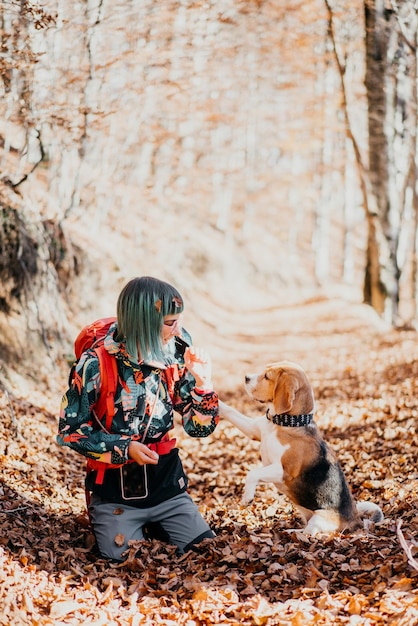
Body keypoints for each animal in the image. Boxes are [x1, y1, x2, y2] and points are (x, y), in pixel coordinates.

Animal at [220, 360, 384, 532]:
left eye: (267, 376)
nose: (246, 377)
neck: (286, 424)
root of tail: (356, 520)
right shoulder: (254, 430)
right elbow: (231, 411)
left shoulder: (285, 471)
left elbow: (253, 473)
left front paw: (247, 497)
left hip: (319, 519)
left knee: (309, 533)